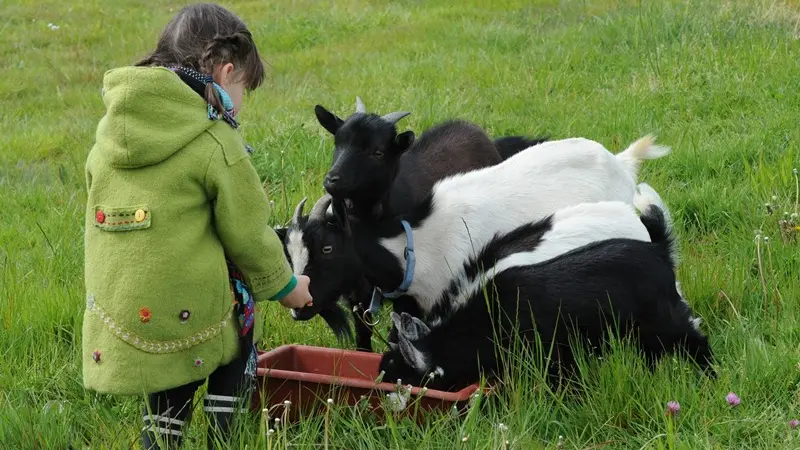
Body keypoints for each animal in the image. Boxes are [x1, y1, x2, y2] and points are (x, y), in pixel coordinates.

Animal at [378, 199, 716, 392]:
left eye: (398, 371)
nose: (379, 383)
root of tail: (658, 248)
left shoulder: (552, 351)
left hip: (663, 316)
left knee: (693, 337)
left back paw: (711, 377)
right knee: (653, 352)